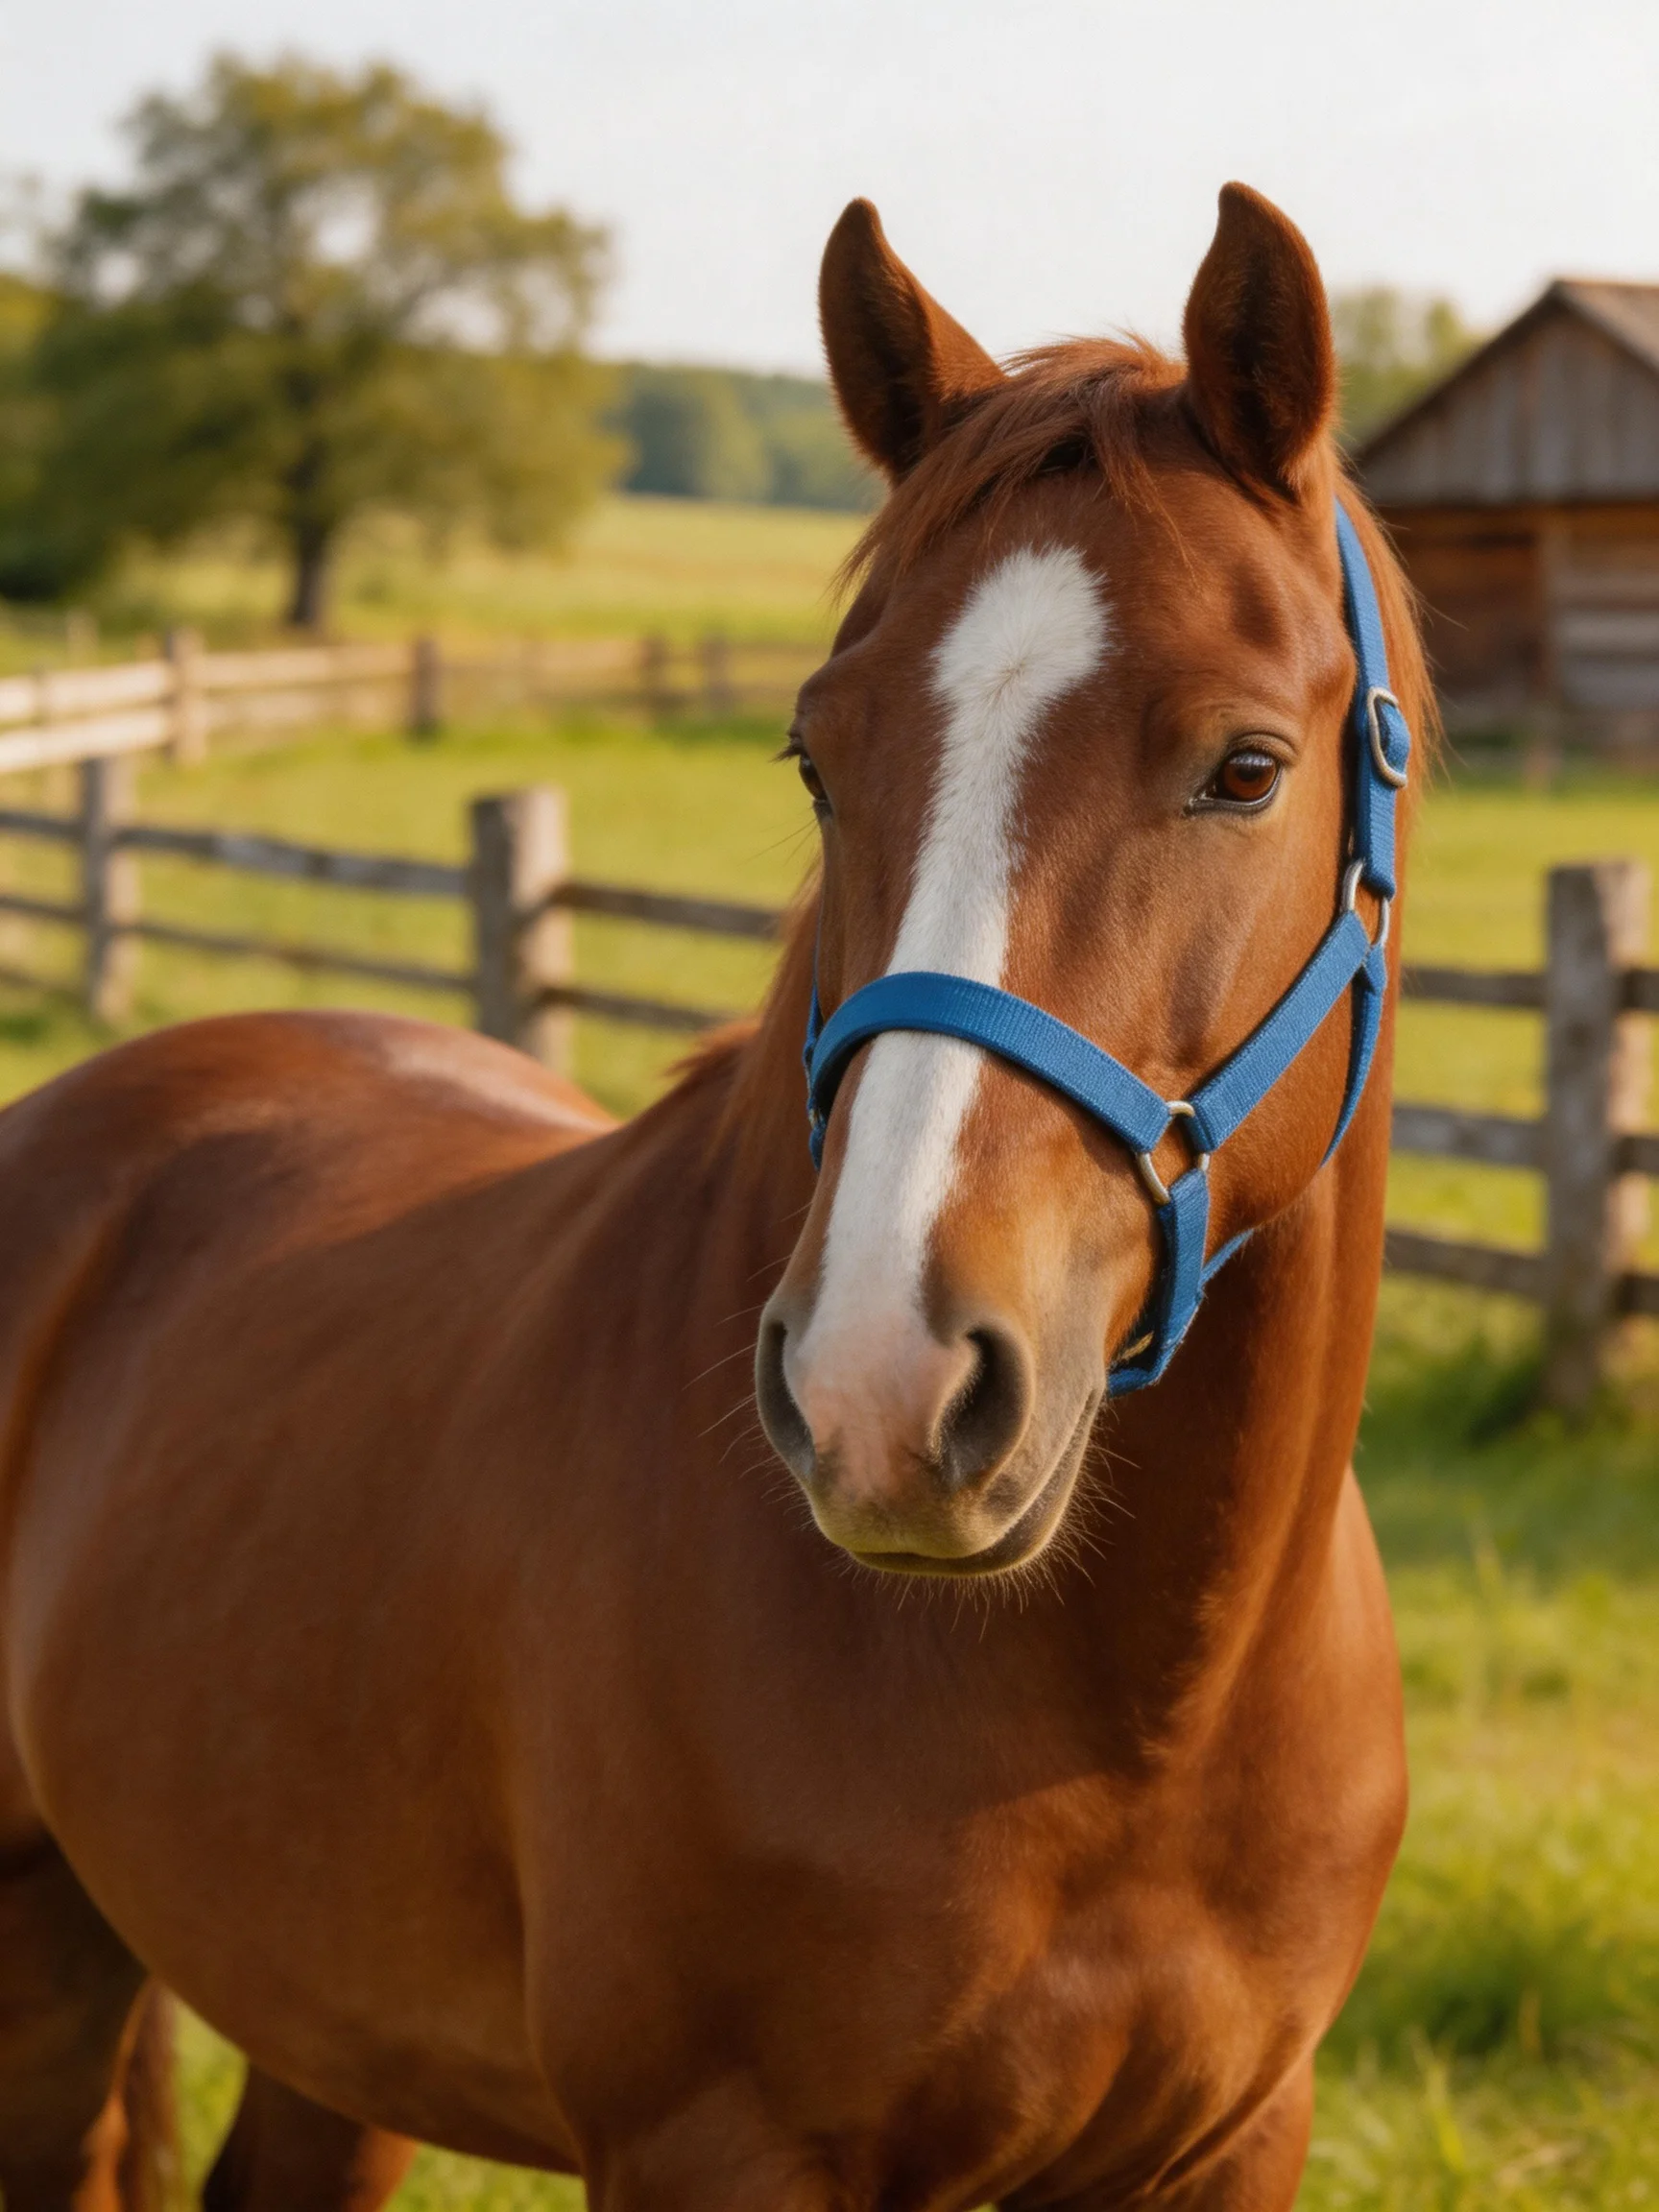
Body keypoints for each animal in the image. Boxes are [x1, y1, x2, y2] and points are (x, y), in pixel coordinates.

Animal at [0, 182, 1422, 2212]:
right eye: (816, 755)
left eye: (1246, 767)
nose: (879, 1389)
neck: (1126, 1715)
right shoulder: (714, 2145)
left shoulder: (1232, 2140)